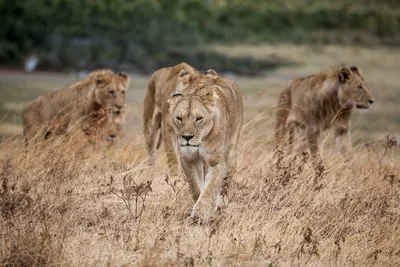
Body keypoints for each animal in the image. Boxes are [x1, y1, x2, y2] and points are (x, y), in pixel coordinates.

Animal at [166, 73, 242, 224]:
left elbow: (210, 188)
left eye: (199, 118)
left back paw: (220, 205)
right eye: (179, 118)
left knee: (226, 183)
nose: (187, 137)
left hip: (231, 152)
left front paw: (200, 214)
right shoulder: (188, 159)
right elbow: (196, 187)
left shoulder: (217, 162)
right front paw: (200, 208)